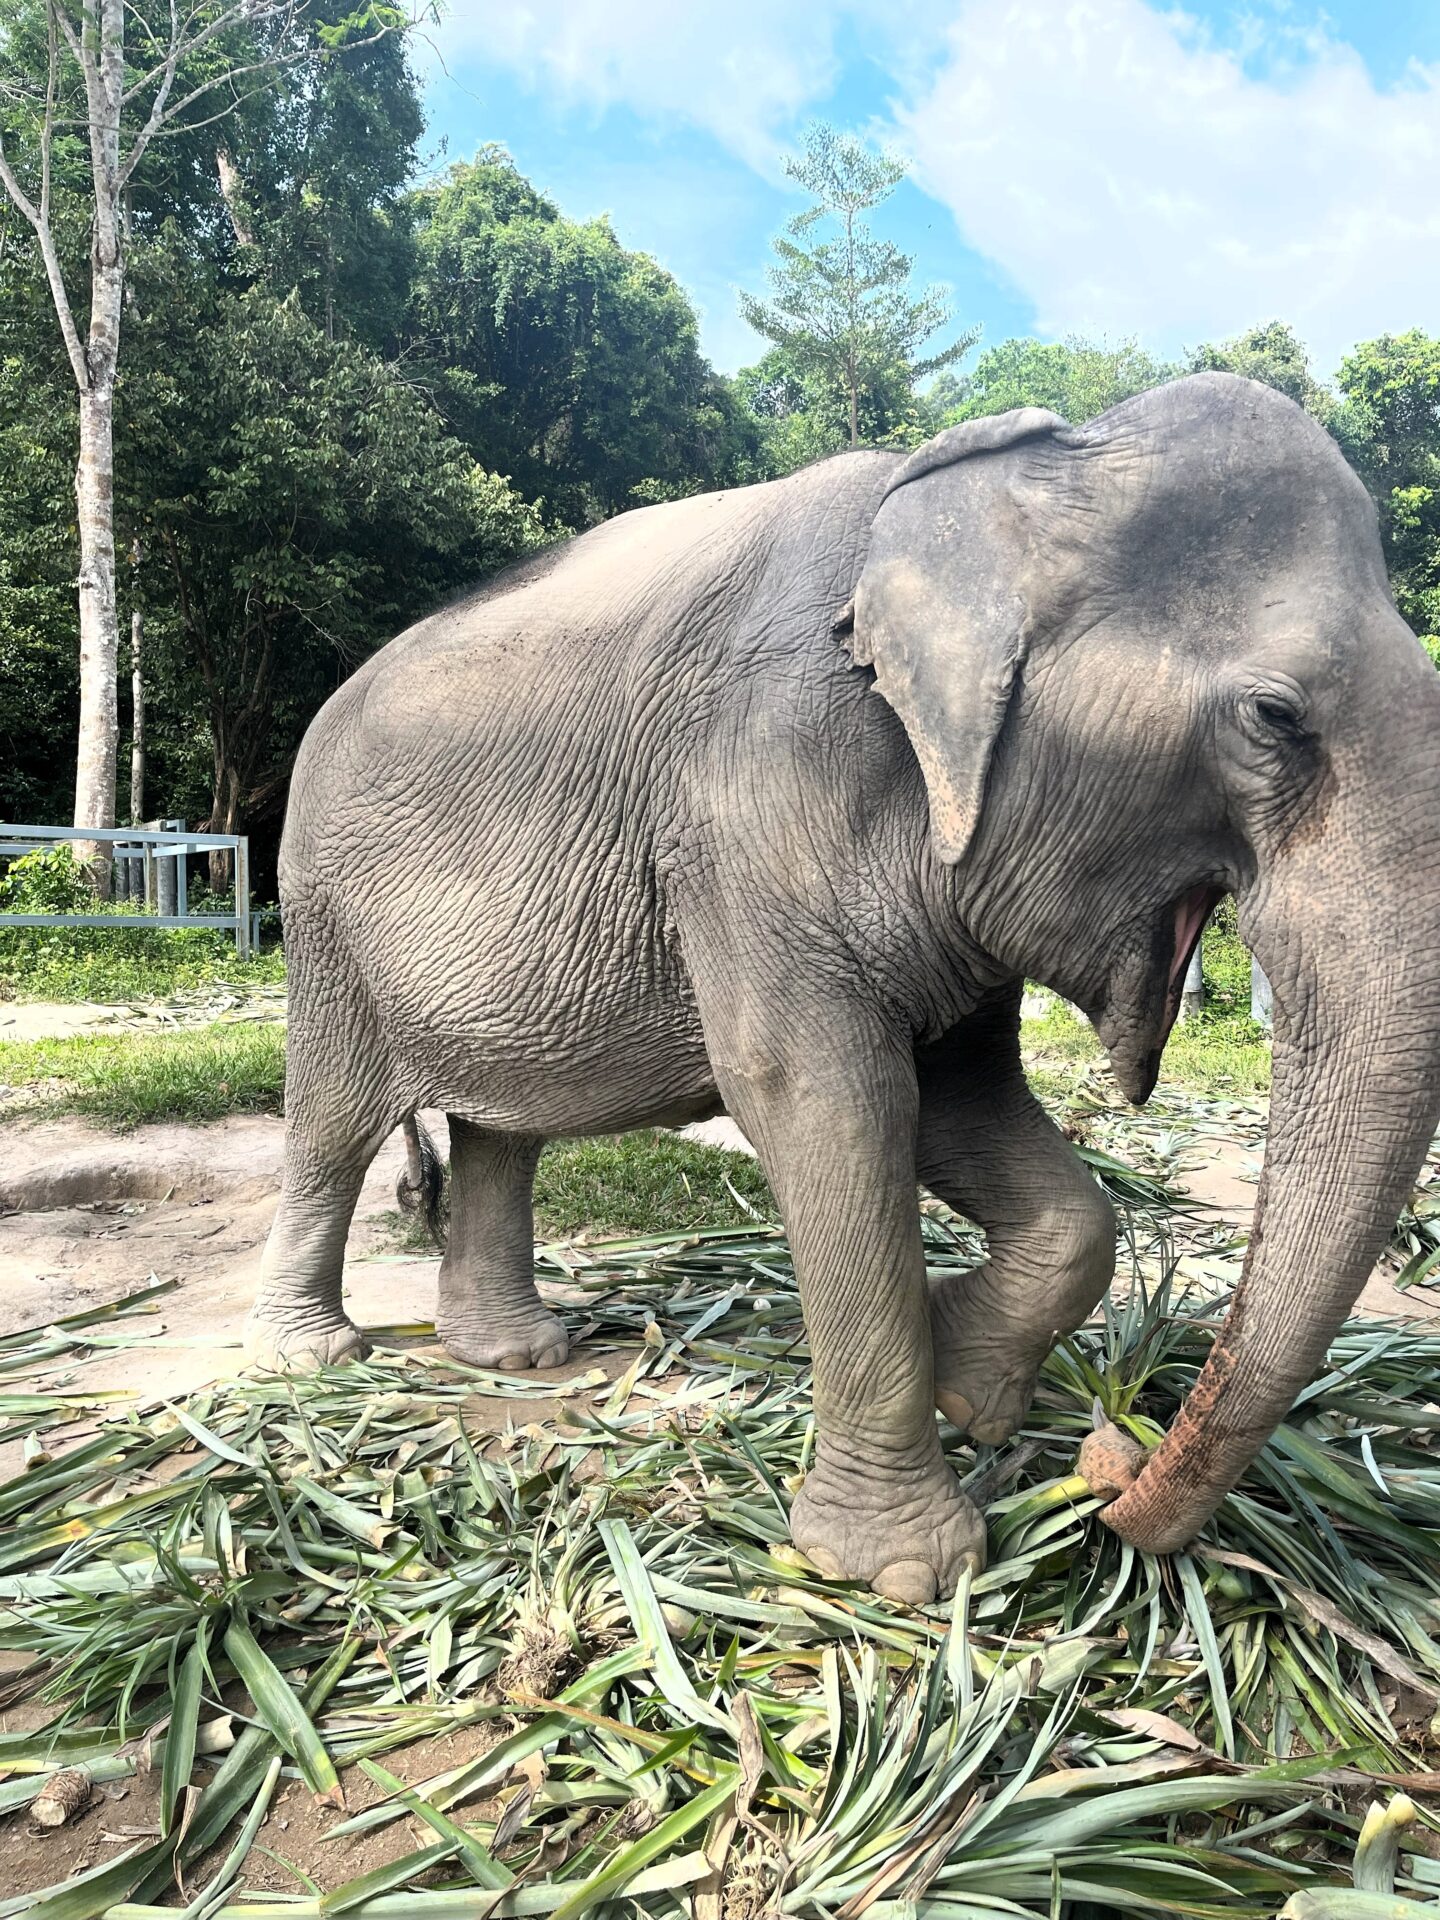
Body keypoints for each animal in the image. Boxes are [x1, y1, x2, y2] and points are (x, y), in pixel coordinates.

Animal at [247, 366, 1440, 1597]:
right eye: (1275, 718)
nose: (1110, 1485)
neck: (1014, 476)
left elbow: (968, 1107)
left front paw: (969, 1386)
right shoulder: (751, 794)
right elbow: (831, 1098)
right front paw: (901, 1573)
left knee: (502, 1128)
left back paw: (520, 1352)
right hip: (325, 920)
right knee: (333, 1123)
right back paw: (312, 1358)